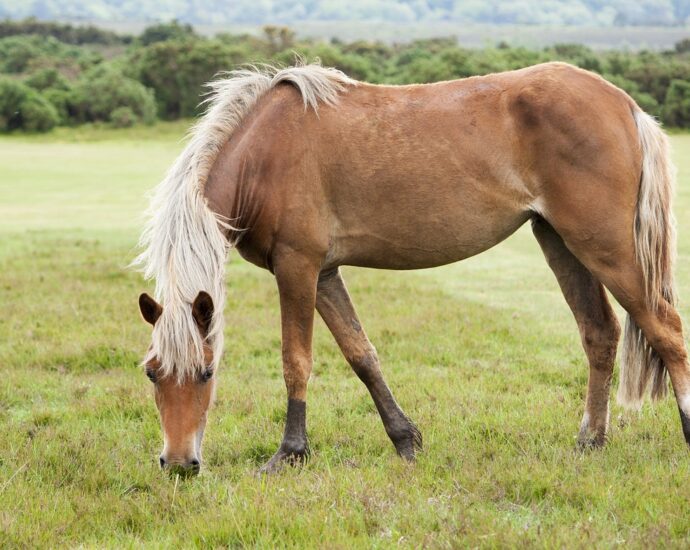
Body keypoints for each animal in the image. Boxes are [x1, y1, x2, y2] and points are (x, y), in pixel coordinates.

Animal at [132, 59, 684, 474]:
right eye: (152, 373)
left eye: (206, 373)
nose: (179, 464)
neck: (263, 154)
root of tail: (625, 104)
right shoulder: (325, 275)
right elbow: (362, 356)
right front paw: (406, 440)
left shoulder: (298, 267)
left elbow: (296, 361)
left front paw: (289, 454)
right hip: (561, 243)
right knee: (600, 333)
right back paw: (590, 441)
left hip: (607, 249)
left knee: (666, 330)